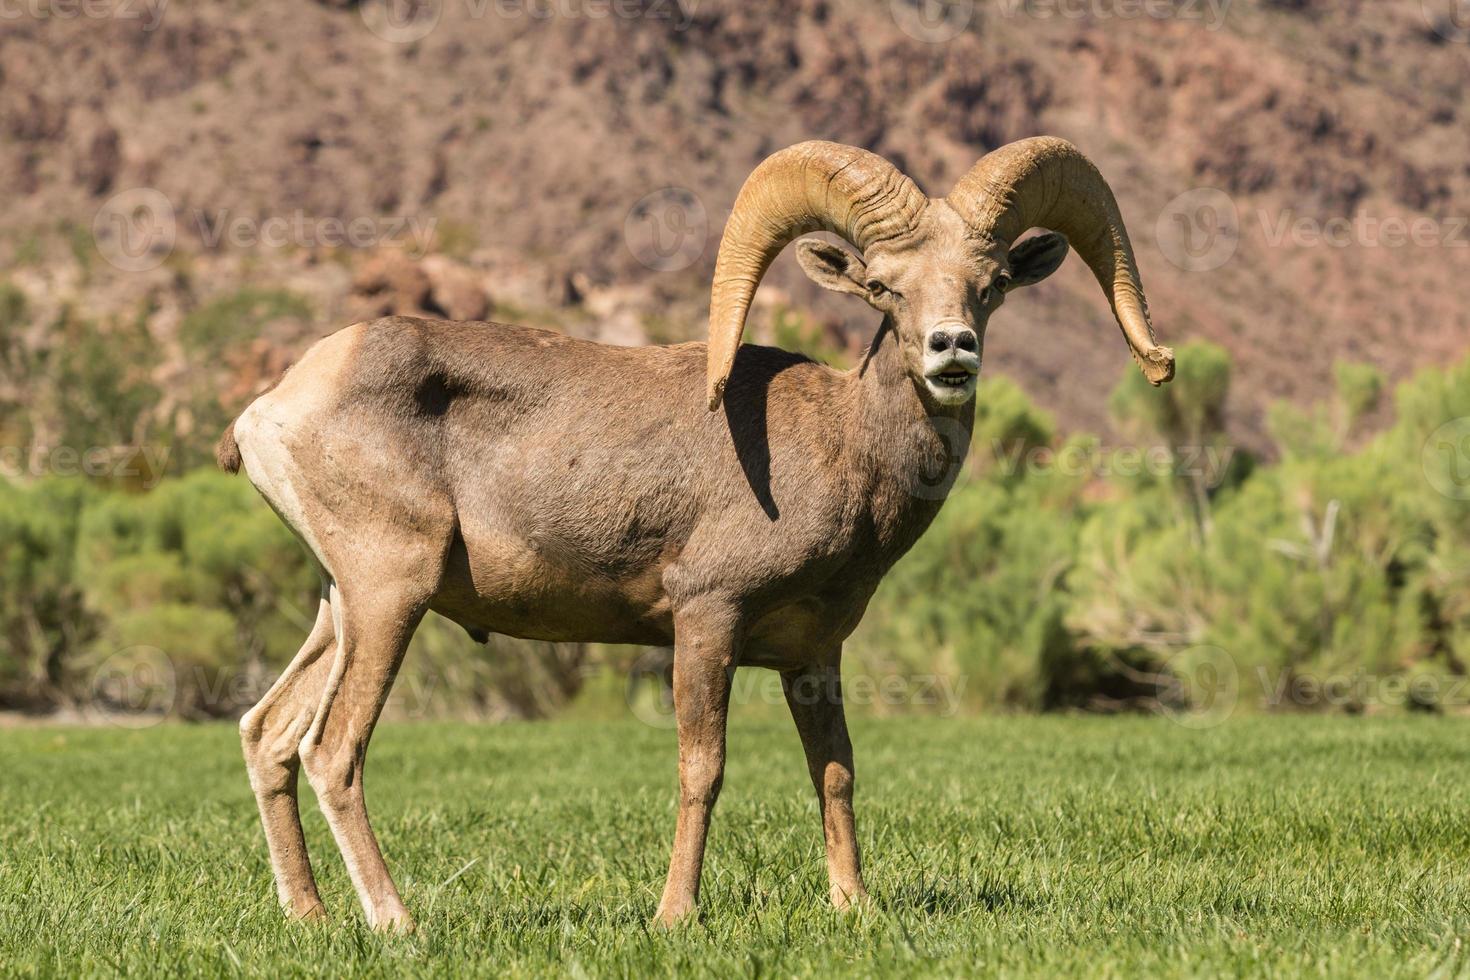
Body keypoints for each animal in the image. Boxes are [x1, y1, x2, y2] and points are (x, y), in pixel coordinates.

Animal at [220, 136, 1174, 931]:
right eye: (883, 287)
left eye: (993, 284)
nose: (952, 351)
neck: (840, 446)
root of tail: (270, 411)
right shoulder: (707, 622)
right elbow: (702, 768)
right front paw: (676, 916)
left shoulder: (813, 655)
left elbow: (835, 771)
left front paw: (854, 907)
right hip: (391, 595)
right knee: (332, 750)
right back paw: (396, 923)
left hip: (340, 607)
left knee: (269, 735)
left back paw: (310, 918)